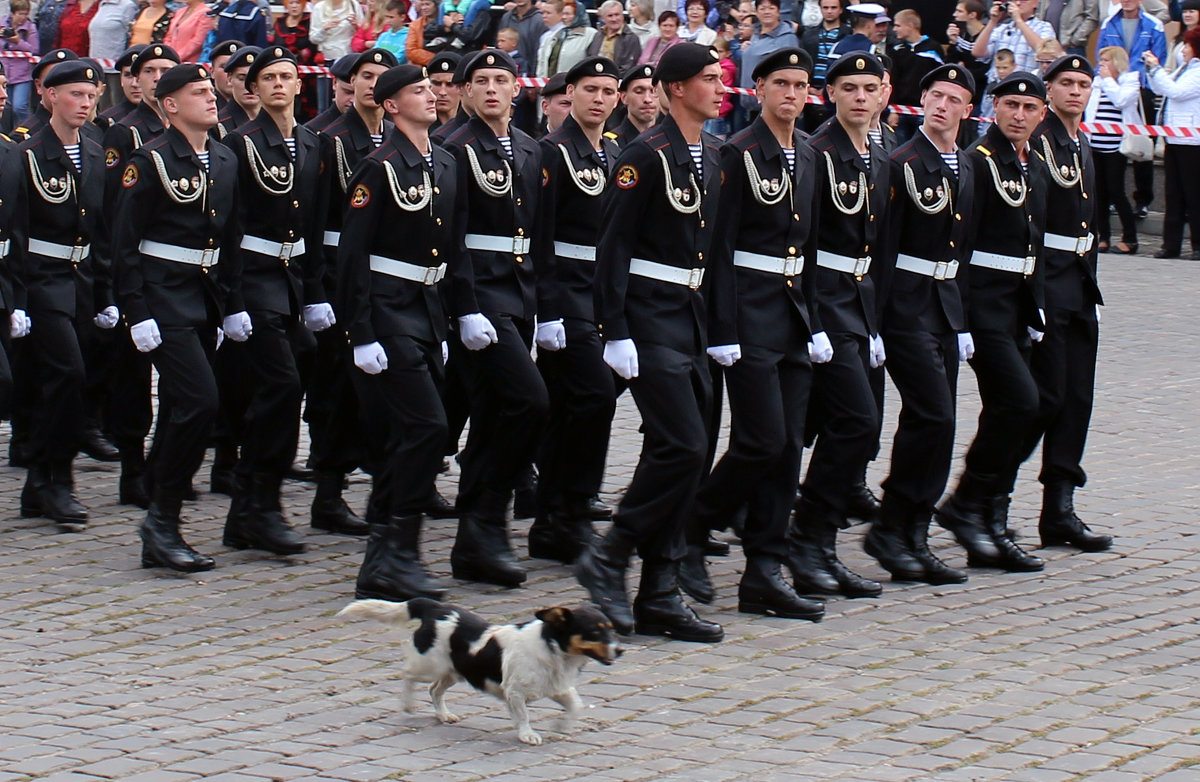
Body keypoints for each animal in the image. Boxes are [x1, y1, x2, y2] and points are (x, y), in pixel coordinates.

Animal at [336, 599, 624, 743]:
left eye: (611, 629)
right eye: (595, 631)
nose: (620, 650)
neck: (553, 648)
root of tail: (436, 607)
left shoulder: (558, 687)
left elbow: (576, 706)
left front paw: (562, 725)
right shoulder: (515, 692)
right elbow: (523, 716)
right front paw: (527, 735)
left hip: (454, 671)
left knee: (434, 690)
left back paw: (444, 715)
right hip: (429, 665)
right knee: (407, 675)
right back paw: (407, 704)